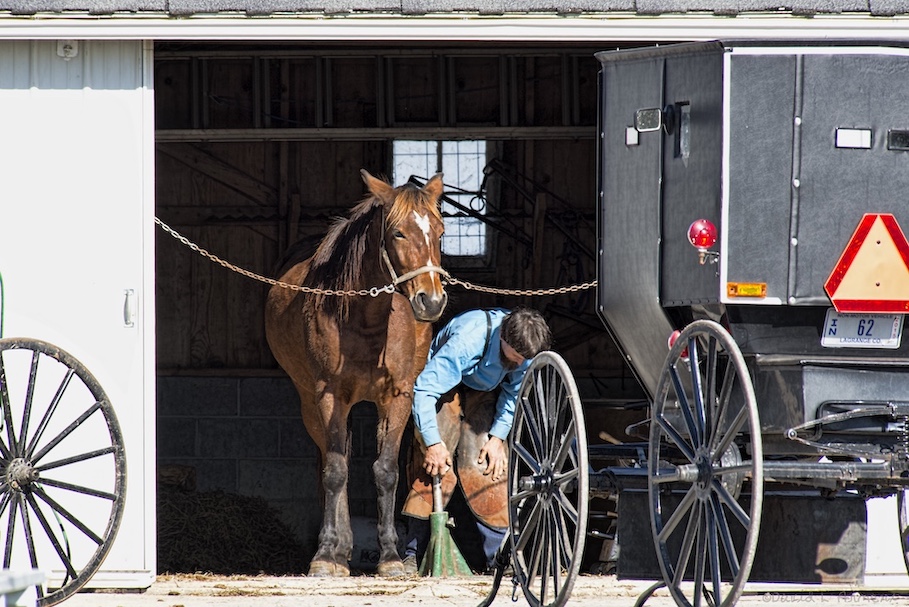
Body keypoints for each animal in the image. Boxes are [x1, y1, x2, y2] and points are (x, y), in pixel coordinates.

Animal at [264, 169, 448, 577]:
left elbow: (386, 472)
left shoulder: (398, 397)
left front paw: (391, 558)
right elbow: (336, 471)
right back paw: (337, 550)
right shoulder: (329, 396)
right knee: (333, 462)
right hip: (312, 404)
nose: (431, 301)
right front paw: (325, 556)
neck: (366, 320)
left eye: (441, 232)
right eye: (398, 233)